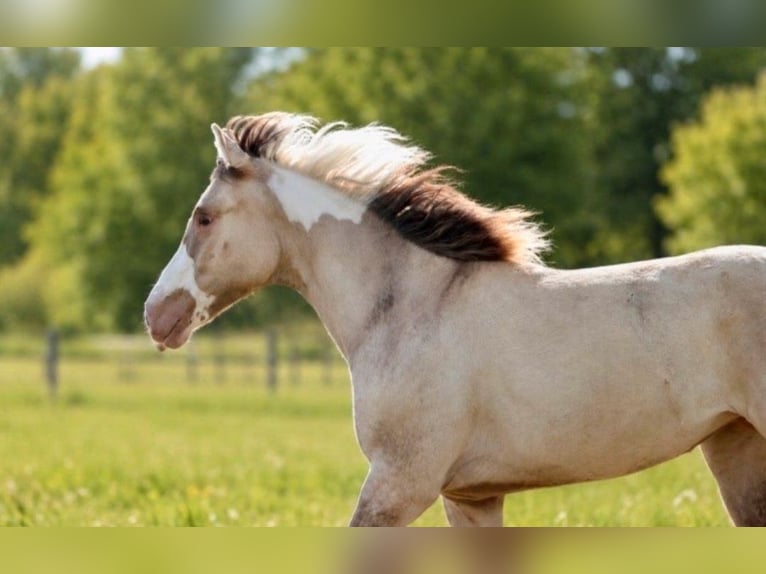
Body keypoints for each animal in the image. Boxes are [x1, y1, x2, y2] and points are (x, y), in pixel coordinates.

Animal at [145, 112, 766, 526]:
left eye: (203, 217)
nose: (155, 314)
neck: (414, 308)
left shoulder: (400, 482)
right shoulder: (470, 495)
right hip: (734, 450)